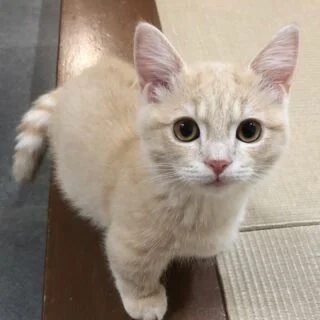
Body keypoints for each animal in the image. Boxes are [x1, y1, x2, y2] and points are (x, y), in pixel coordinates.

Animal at [13, 23, 300, 320]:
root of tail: (79, 77)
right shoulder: (125, 243)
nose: (218, 162)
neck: (204, 211)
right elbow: (133, 270)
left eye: (249, 131)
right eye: (185, 130)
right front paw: (145, 300)